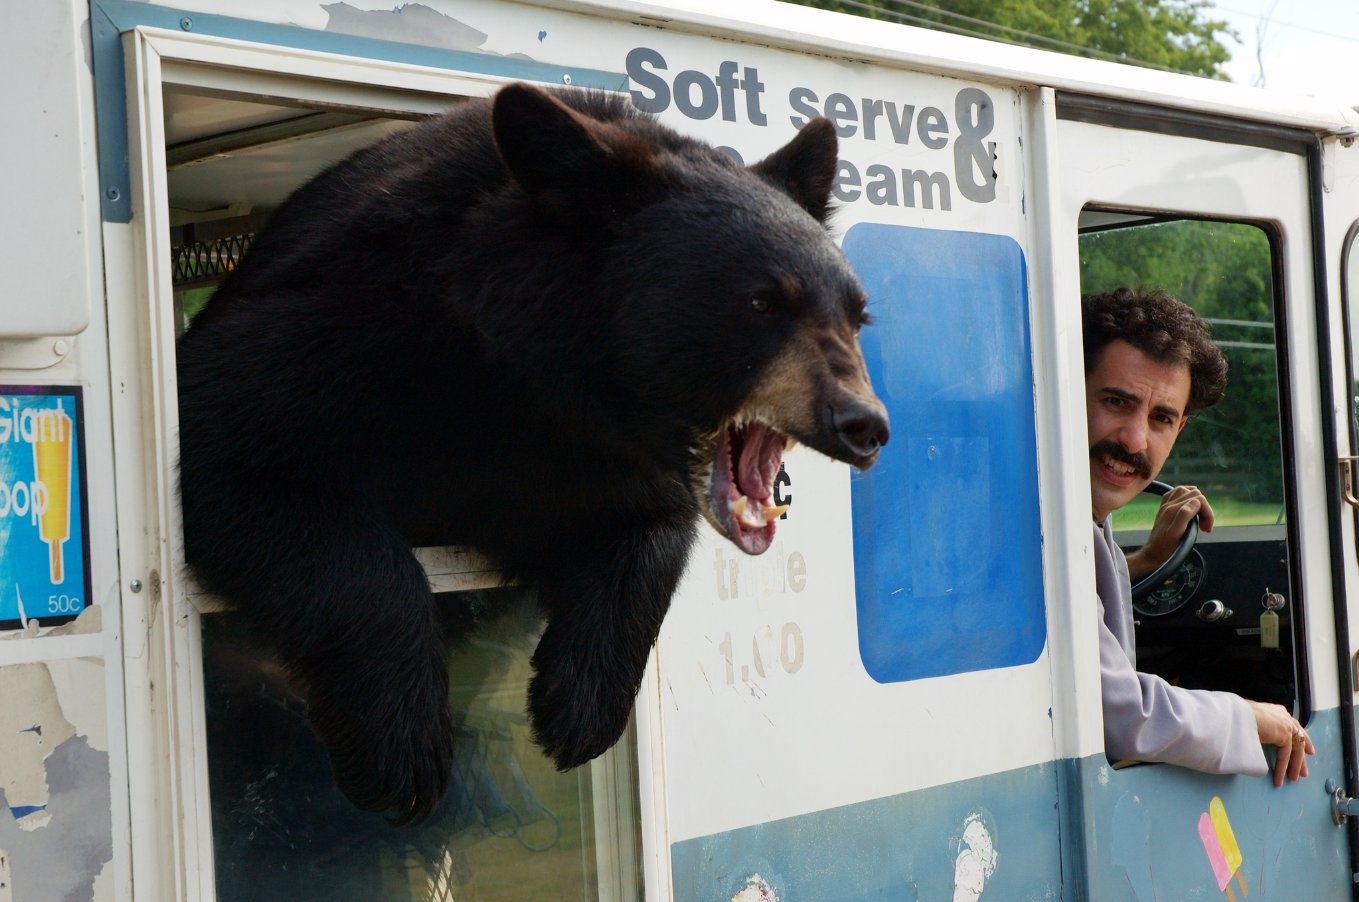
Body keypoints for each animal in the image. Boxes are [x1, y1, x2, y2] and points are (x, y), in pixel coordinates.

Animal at [178, 84, 891, 825]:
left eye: (857, 314)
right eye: (761, 301)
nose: (861, 423)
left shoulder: (595, 462)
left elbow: (648, 532)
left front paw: (577, 708)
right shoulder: (342, 329)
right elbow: (245, 462)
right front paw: (402, 747)